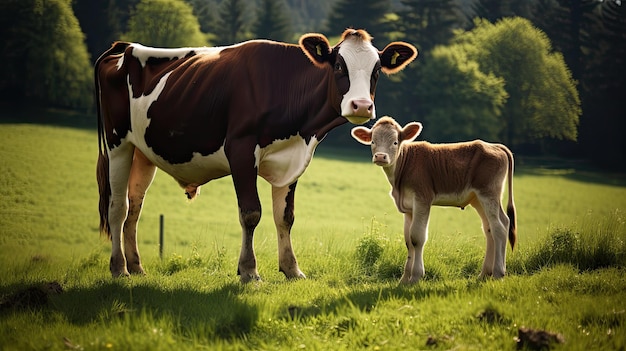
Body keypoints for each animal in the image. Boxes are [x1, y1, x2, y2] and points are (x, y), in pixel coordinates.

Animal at [95, 30, 416, 284]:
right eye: (338, 65)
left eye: (377, 70)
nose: (361, 105)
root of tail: (124, 46)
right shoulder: (240, 149)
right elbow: (251, 213)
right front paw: (249, 271)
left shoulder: (293, 160)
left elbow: (285, 217)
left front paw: (292, 269)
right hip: (117, 143)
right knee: (118, 207)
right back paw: (119, 268)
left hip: (142, 153)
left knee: (135, 207)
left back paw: (137, 266)